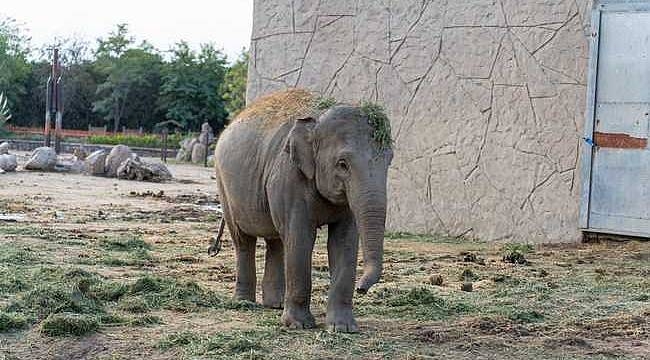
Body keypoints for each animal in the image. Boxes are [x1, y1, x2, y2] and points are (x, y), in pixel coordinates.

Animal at [213, 89, 390, 332]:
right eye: (342, 164)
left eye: (389, 161)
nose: (362, 289)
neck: (318, 117)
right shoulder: (290, 176)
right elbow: (300, 236)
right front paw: (299, 325)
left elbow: (344, 241)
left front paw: (343, 328)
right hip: (225, 187)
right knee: (243, 240)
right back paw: (244, 303)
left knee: (276, 241)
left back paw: (275, 304)